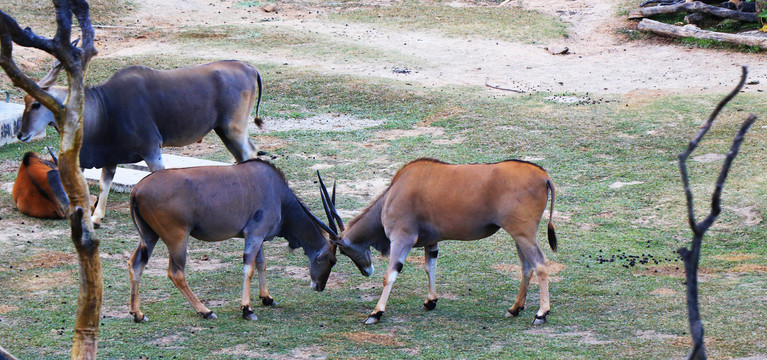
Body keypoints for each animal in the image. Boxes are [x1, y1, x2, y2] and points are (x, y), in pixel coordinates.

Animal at [127, 159, 338, 322]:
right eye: (331, 260)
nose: (319, 286)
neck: (278, 195)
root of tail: (137, 190)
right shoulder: (254, 234)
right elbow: (249, 268)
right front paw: (247, 309)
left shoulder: (259, 238)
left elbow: (261, 263)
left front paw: (267, 298)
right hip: (177, 238)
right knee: (176, 273)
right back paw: (206, 311)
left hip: (149, 236)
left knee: (136, 264)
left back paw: (138, 314)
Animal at [318, 159, 560, 324]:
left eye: (338, 254)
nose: (366, 271)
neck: (392, 194)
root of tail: (543, 176)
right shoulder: (431, 242)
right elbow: (430, 266)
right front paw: (430, 301)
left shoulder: (402, 238)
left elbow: (390, 275)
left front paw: (376, 313)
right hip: (519, 236)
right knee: (527, 267)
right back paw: (515, 308)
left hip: (523, 234)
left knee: (540, 265)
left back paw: (541, 313)